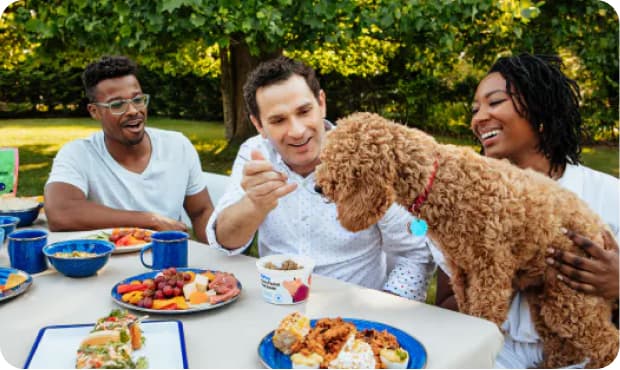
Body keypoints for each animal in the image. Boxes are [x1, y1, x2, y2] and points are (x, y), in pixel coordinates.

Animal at [318, 112, 616, 368]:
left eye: (340, 159)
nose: (317, 186)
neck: (445, 181)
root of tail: (597, 223)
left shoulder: (490, 272)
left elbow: (485, 316)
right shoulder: (462, 271)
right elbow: (467, 310)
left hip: (571, 294)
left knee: (607, 341)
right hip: (545, 296)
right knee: (562, 345)